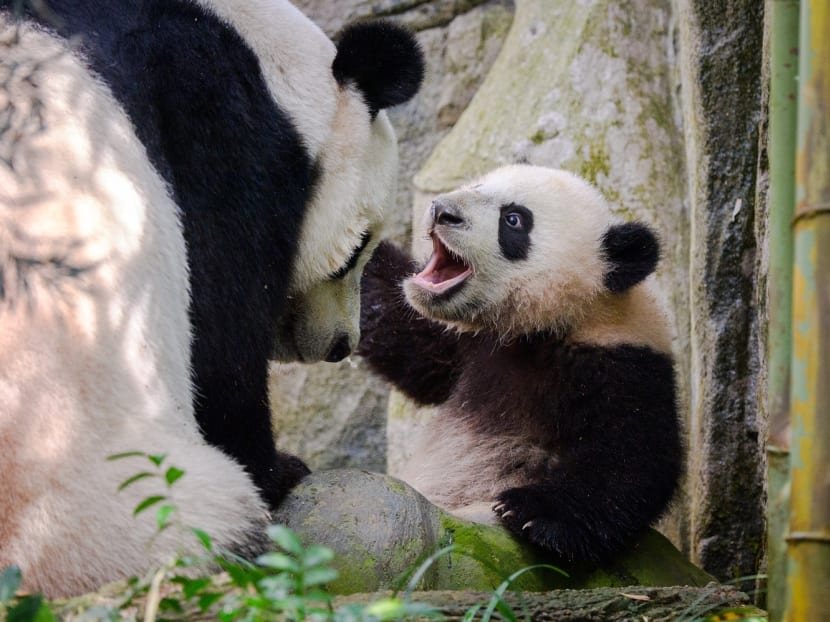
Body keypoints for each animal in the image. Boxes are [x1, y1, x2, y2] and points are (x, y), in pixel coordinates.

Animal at [359, 165, 683, 563]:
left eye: (514, 220)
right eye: (477, 184)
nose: (441, 210)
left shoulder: (623, 365)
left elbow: (631, 459)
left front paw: (533, 512)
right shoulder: (467, 345)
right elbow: (404, 335)